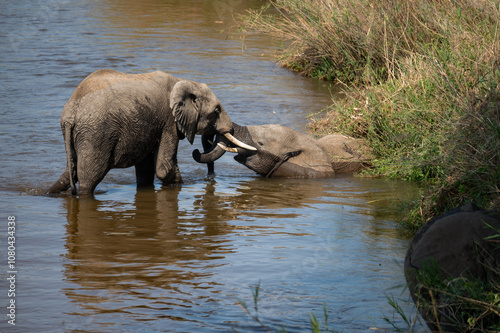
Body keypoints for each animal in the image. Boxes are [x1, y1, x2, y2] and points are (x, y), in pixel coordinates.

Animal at [46, 69, 254, 196]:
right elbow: (164, 168)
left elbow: (146, 170)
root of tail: (70, 113)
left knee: (71, 171)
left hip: (81, 135)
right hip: (96, 134)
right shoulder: (168, 122)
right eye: (217, 110)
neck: (184, 81)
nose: (210, 177)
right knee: (89, 178)